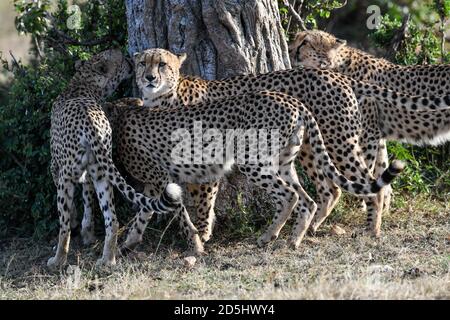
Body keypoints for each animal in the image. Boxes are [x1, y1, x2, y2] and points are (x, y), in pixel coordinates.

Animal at [48, 48, 182, 268]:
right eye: (120, 59)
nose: (129, 58)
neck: (83, 83)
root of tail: (90, 121)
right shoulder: (91, 172)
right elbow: (88, 200)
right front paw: (87, 234)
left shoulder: (57, 168)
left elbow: (75, 208)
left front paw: (79, 228)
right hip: (102, 174)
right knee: (112, 218)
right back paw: (107, 259)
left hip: (69, 175)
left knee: (64, 224)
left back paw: (58, 258)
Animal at [288, 28, 450, 231]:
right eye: (297, 39)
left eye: (305, 42)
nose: (290, 49)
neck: (339, 65)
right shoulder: (378, 135)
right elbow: (381, 167)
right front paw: (384, 208)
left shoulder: (368, 134)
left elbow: (367, 167)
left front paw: (360, 206)